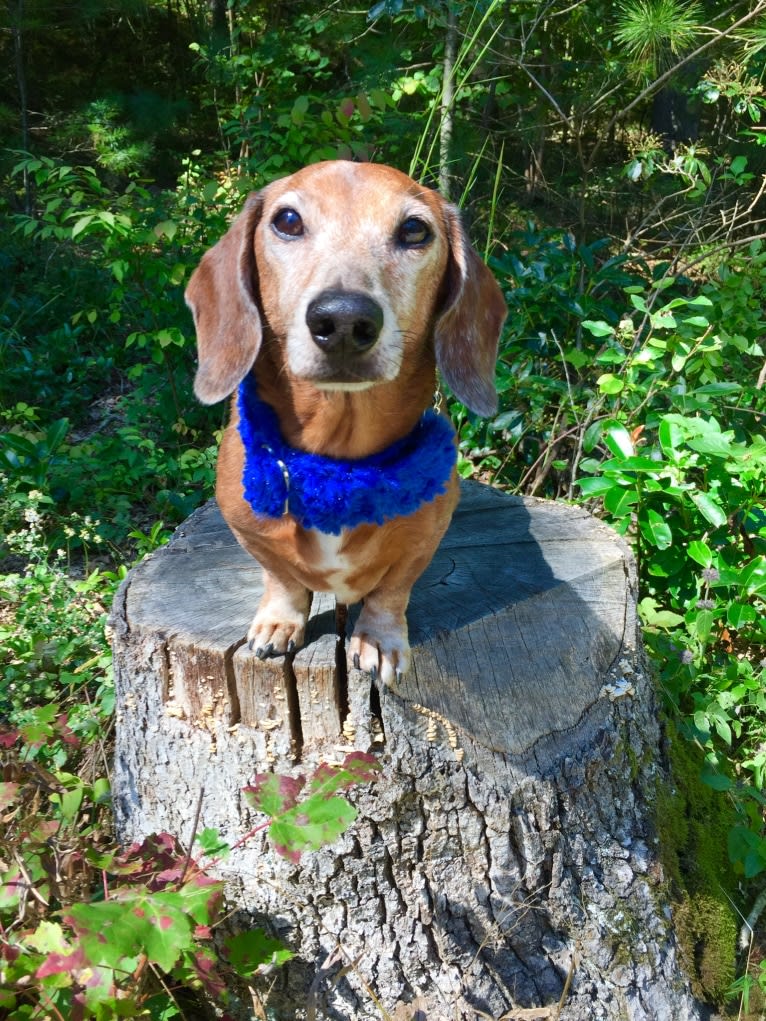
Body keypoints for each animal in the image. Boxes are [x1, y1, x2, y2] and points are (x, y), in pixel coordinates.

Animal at [184, 159, 506, 686]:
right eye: (287, 220)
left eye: (414, 229)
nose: (343, 320)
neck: (338, 465)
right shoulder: (248, 530)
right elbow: (282, 578)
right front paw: (280, 620)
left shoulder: (422, 542)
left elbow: (391, 591)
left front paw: (378, 639)